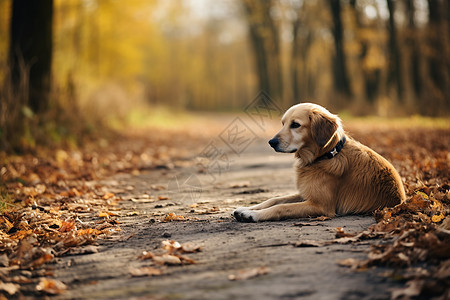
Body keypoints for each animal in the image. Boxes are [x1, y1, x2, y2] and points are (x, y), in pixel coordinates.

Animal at [234, 103, 406, 223]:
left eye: (295, 125)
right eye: (283, 124)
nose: (271, 142)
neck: (327, 155)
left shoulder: (320, 205)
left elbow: (281, 207)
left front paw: (253, 214)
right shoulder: (307, 193)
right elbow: (275, 199)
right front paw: (246, 209)